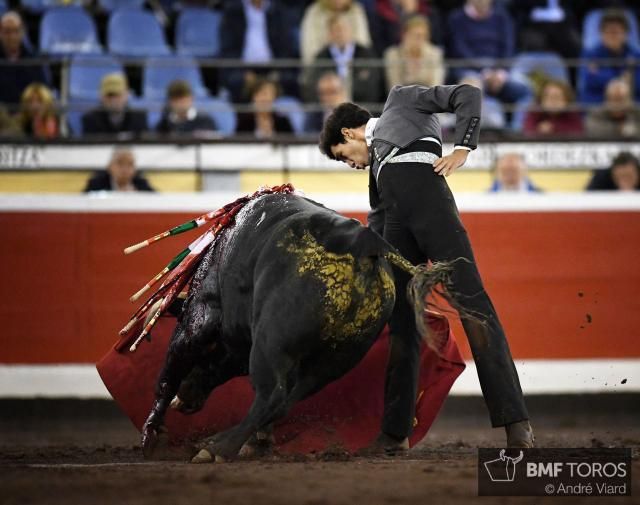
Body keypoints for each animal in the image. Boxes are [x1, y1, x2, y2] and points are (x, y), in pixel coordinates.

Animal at [141, 193, 450, 460]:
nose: (186, 400)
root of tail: (362, 242)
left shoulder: (201, 315)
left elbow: (171, 367)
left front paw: (152, 433)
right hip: (337, 359)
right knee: (288, 398)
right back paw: (245, 441)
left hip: (270, 344)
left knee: (272, 395)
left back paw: (217, 447)